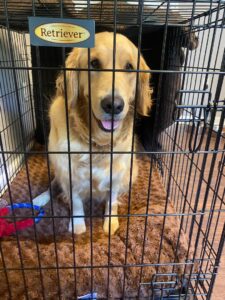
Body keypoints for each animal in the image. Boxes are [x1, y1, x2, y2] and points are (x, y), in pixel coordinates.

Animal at [33, 32, 152, 234]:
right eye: (94, 63)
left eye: (129, 67)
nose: (113, 105)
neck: (97, 143)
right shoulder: (68, 173)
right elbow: (76, 202)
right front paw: (78, 226)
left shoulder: (117, 173)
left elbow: (111, 200)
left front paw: (110, 222)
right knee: (53, 185)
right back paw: (40, 198)